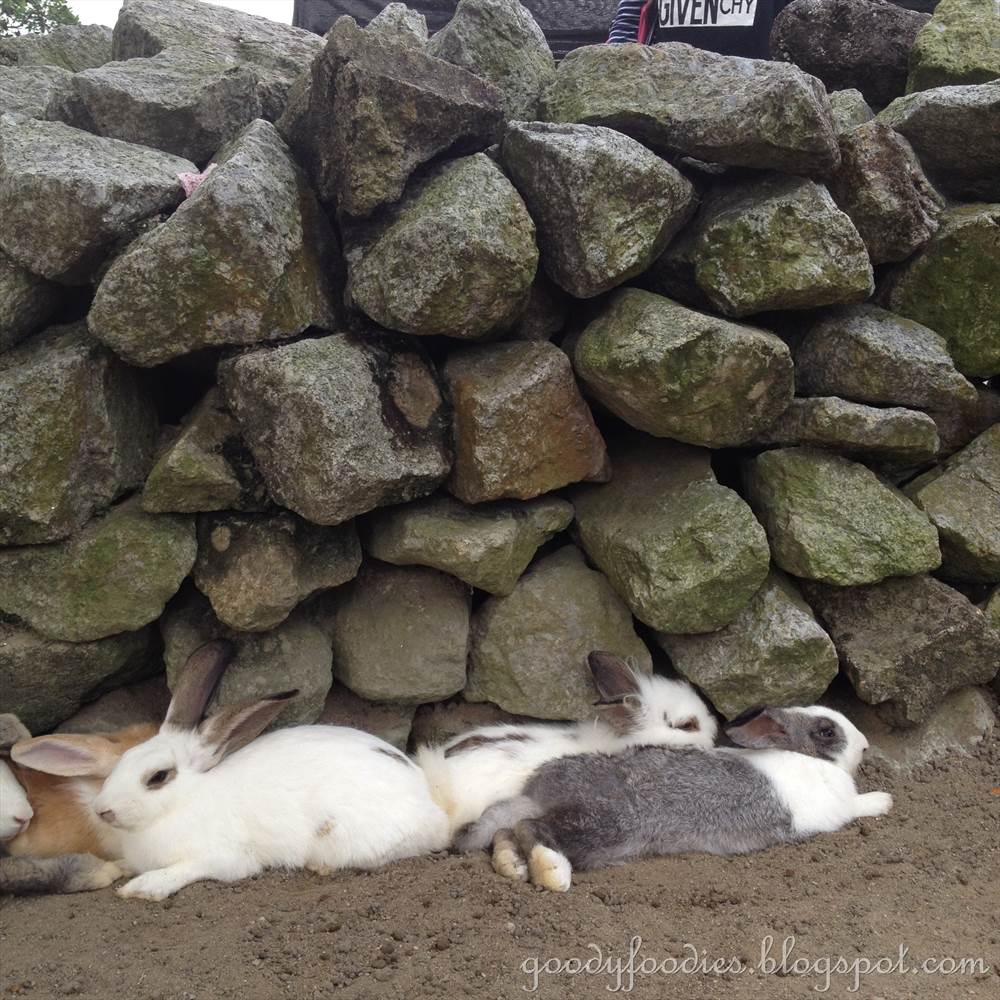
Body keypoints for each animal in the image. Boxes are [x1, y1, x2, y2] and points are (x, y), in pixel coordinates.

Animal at [88, 640, 451, 901]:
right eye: (124, 758)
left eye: (158, 777)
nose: (102, 810)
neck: (185, 801)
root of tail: (430, 802)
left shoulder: (223, 858)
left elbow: (185, 870)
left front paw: (141, 888)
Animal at [455, 705, 892, 892]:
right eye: (826, 732)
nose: (866, 745)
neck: (805, 758)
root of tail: (540, 791)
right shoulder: (833, 809)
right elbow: (859, 806)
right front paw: (884, 800)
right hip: (604, 826)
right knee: (532, 829)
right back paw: (553, 872)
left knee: (505, 831)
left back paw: (511, 866)